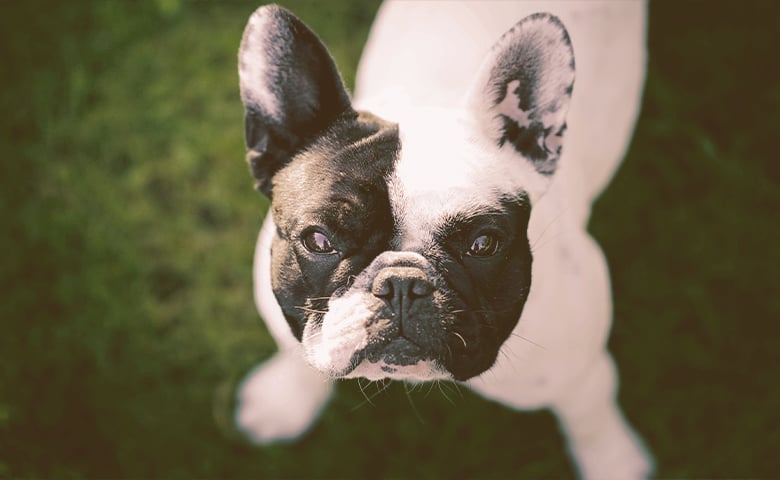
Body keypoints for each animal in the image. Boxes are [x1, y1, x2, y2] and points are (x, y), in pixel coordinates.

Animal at [235, 1, 648, 478]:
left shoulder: (578, 373)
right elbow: (296, 353)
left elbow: (592, 419)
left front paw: (614, 462)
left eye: (483, 244)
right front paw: (285, 401)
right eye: (318, 240)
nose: (400, 283)